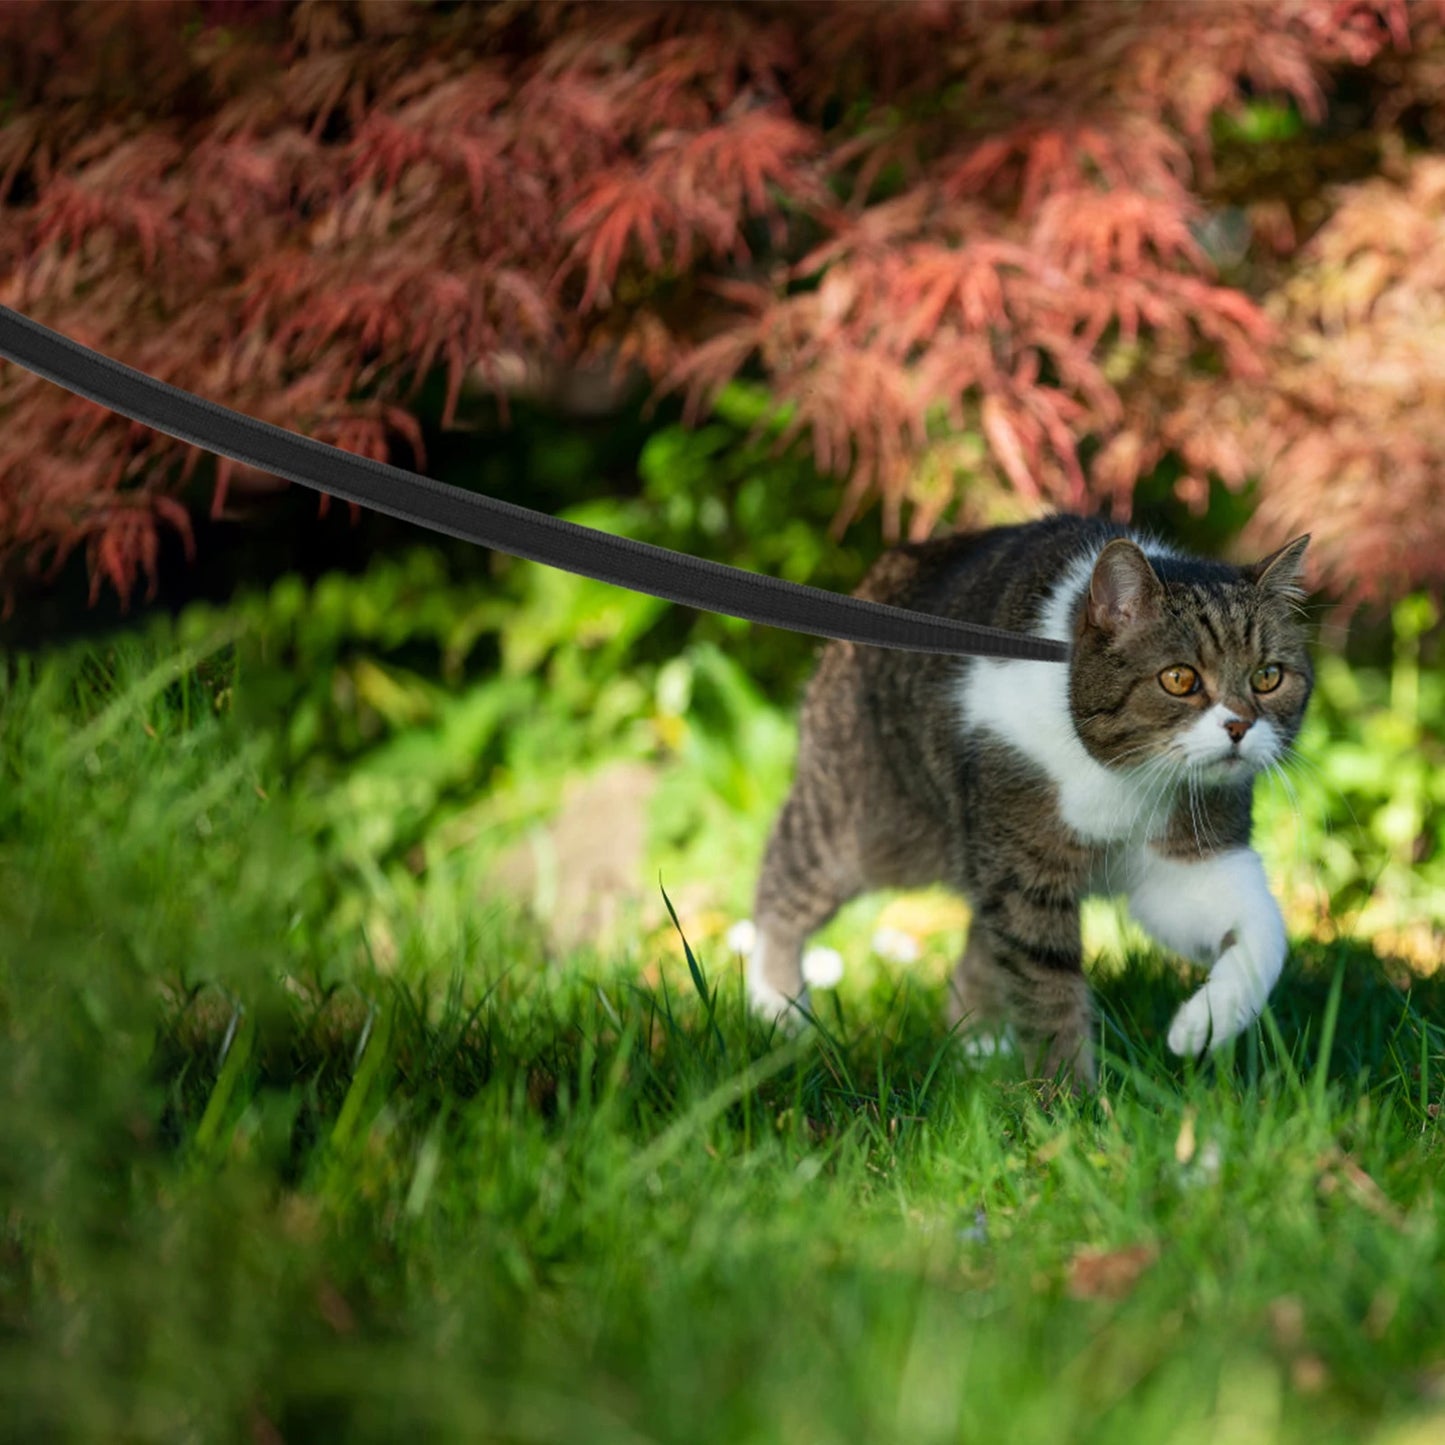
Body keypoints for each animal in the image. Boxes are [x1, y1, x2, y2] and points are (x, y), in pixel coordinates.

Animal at [751, 514, 1317, 1086]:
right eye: (1180, 679)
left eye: (1268, 677)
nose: (1240, 727)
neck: (1123, 776)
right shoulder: (1025, 869)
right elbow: (1048, 990)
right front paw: (1070, 1096)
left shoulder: (1187, 866)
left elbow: (1264, 930)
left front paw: (1205, 1024)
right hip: (866, 820)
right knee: (782, 880)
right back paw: (777, 1009)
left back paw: (978, 1046)